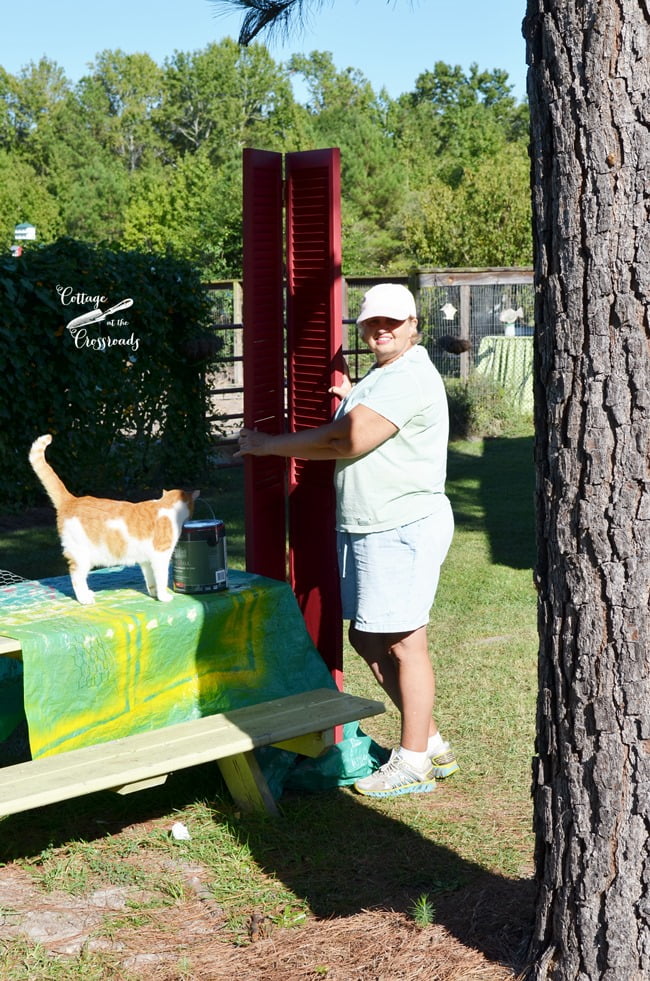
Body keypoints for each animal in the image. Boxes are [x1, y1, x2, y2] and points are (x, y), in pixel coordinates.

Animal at [29, 432, 197, 600]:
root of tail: (72, 500)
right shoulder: (160, 556)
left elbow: (151, 580)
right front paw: (164, 597)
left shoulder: (146, 561)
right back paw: (85, 598)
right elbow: (161, 579)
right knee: (76, 576)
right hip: (82, 556)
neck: (167, 506)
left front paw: (154, 593)